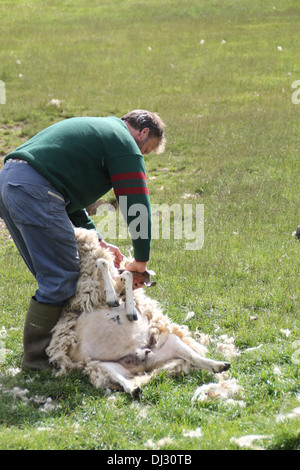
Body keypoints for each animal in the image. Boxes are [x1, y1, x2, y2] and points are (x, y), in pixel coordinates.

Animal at [46, 228, 230, 396]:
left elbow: (118, 271)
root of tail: (145, 365)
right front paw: (119, 300)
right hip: (101, 364)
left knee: (193, 357)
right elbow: (109, 267)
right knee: (121, 379)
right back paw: (134, 390)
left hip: (169, 342)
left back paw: (218, 365)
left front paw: (126, 306)